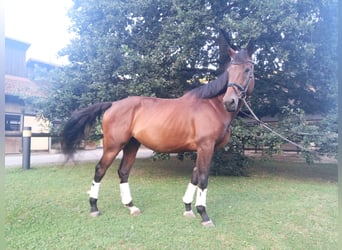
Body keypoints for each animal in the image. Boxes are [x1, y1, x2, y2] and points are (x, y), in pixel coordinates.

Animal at [61, 41, 255, 227]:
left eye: (247, 70)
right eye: (229, 71)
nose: (229, 101)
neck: (212, 106)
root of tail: (113, 104)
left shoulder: (202, 150)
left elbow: (194, 176)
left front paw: (188, 208)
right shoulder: (206, 147)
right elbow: (202, 178)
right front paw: (204, 215)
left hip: (132, 145)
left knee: (123, 172)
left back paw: (131, 207)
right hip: (113, 146)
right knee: (100, 170)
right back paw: (94, 207)